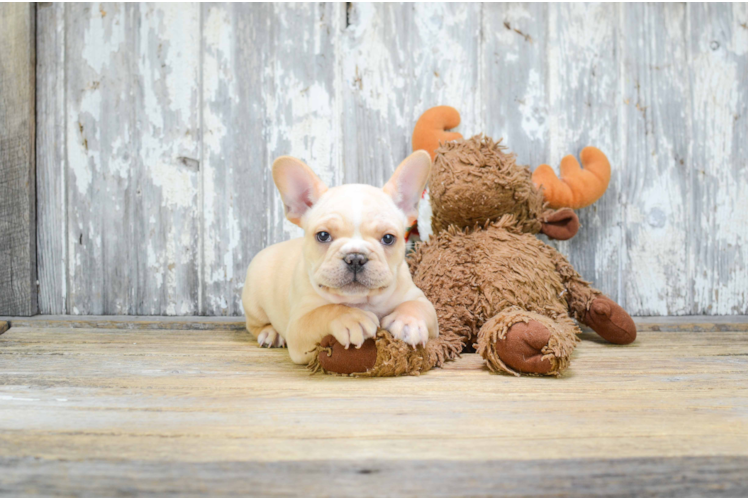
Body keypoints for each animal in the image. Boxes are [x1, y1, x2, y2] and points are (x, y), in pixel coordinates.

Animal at [241, 149, 438, 364]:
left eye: (388, 238)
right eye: (323, 235)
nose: (355, 257)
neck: (361, 301)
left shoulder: (419, 299)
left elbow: (417, 306)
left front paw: (408, 322)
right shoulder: (299, 325)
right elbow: (323, 312)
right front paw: (351, 318)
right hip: (253, 303)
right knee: (255, 325)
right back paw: (272, 333)